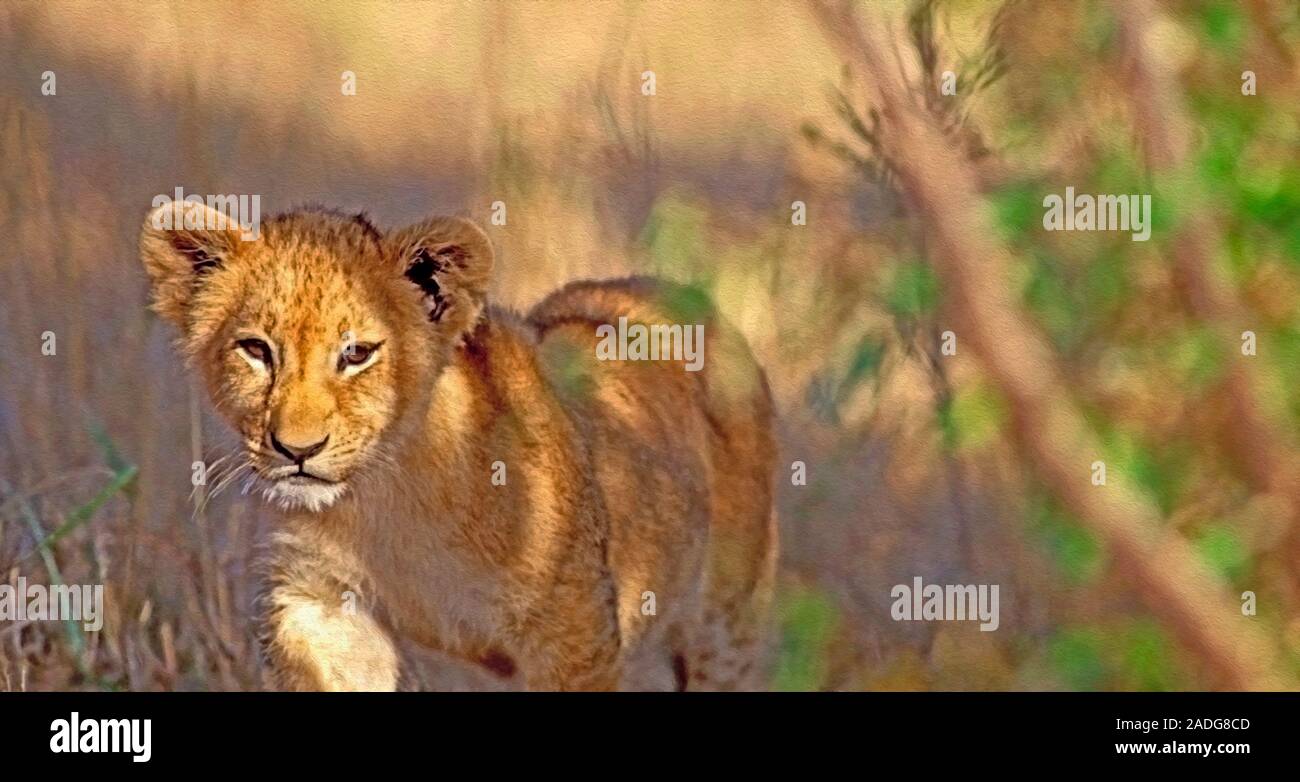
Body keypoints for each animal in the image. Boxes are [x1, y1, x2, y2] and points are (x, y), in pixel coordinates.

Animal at [139, 201, 778, 691]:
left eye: (357, 353)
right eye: (256, 350)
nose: (298, 449)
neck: (382, 500)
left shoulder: (573, 631)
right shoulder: (319, 603)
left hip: (725, 620)